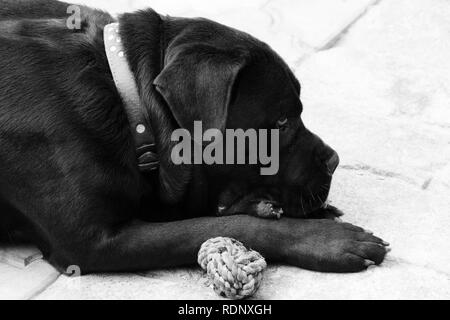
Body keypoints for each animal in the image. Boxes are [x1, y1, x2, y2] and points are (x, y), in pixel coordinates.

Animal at [0, 0, 386, 274]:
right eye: (280, 121)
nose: (334, 160)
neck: (127, 99)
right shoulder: (92, 243)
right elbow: (213, 228)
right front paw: (327, 240)